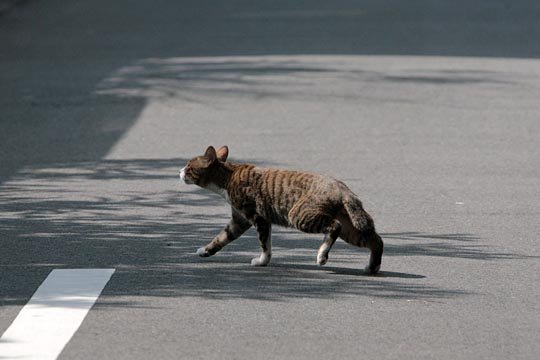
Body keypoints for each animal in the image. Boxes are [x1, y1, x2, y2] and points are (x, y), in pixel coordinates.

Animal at [181, 144, 384, 272]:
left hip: (300, 214)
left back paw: (322, 256)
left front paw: (262, 261)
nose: (180, 171)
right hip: (351, 227)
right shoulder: (239, 220)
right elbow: (222, 237)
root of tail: (343, 189)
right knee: (376, 241)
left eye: (189, 166)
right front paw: (206, 251)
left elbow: (265, 244)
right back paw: (372, 267)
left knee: (334, 226)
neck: (228, 177)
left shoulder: (259, 218)